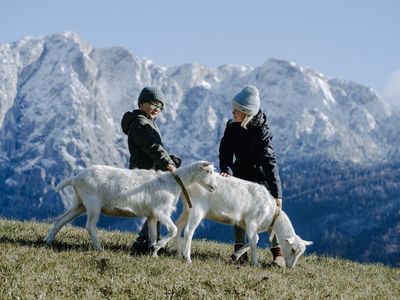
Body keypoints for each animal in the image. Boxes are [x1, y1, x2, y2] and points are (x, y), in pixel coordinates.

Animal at [44, 161, 216, 254]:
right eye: (208, 171)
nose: (214, 187)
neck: (173, 183)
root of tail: (75, 178)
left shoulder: (152, 215)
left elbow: (153, 234)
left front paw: (153, 252)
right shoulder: (161, 212)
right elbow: (173, 230)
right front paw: (158, 246)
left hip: (79, 203)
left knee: (60, 220)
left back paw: (47, 241)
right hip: (93, 204)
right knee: (90, 226)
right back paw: (99, 248)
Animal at [175, 175, 312, 268]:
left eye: (301, 253)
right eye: (293, 250)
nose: (291, 267)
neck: (271, 211)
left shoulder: (247, 224)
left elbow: (254, 240)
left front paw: (235, 256)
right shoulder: (252, 222)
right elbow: (253, 241)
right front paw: (255, 263)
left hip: (187, 208)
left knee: (179, 226)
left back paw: (178, 254)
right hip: (197, 208)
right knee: (188, 231)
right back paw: (187, 258)